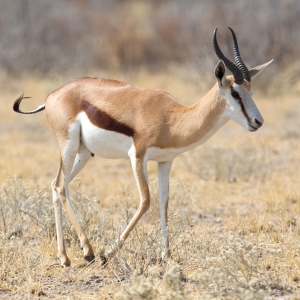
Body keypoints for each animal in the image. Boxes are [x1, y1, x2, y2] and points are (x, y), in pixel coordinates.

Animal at [13, 27, 272, 268]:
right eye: (235, 93)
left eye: (251, 90)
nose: (258, 121)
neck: (173, 118)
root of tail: (51, 96)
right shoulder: (137, 156)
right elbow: (146, 200)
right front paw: (107, 254)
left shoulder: (166, 161)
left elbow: (163, 203)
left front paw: (167, 257)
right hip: (68, 145)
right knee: (60, 186)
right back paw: (88, 251)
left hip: (84, 153)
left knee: (57, 185)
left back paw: (65, 257)